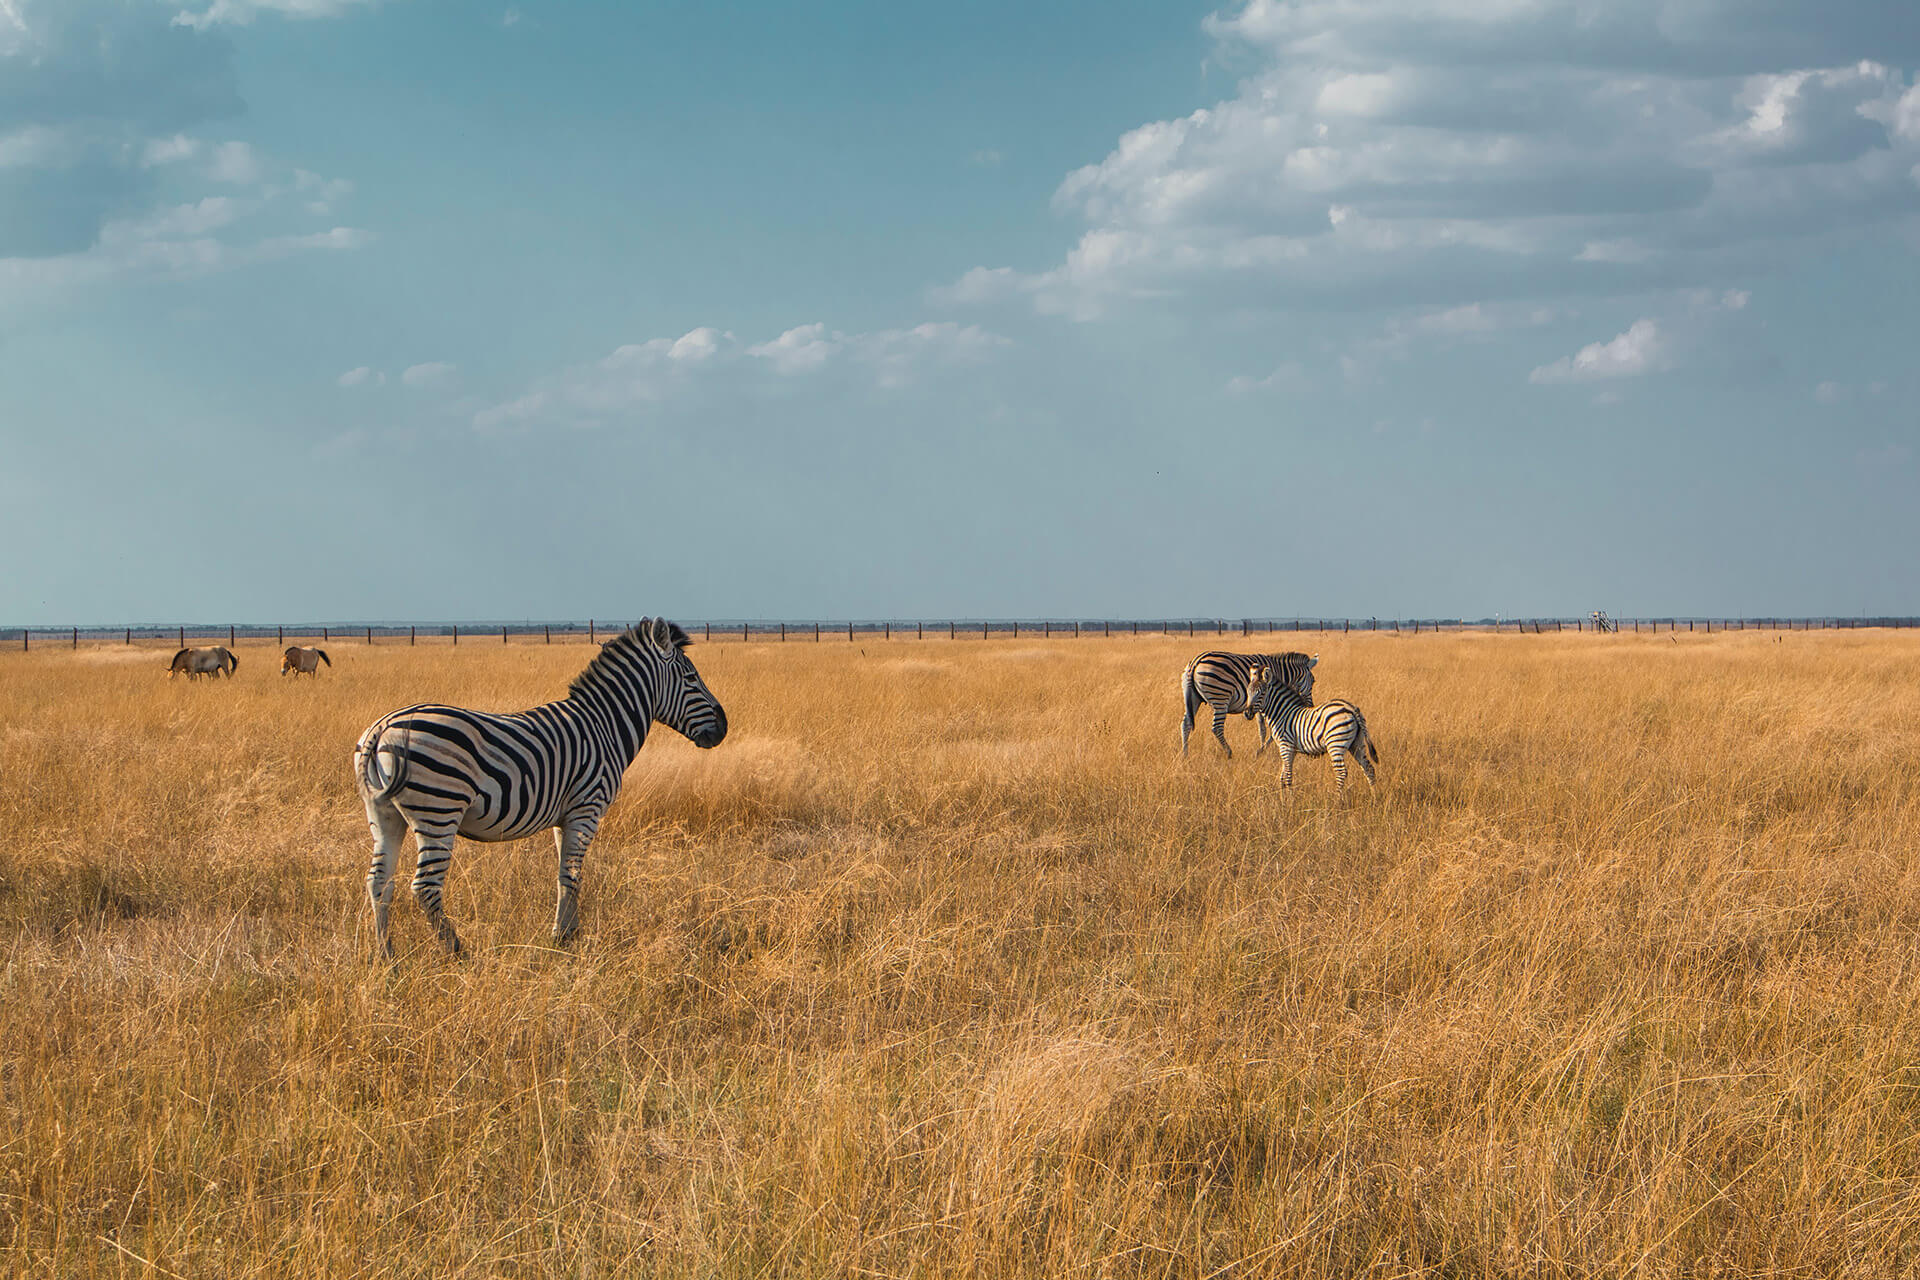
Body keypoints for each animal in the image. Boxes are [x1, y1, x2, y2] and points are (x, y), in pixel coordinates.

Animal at [353, 614, 725, 955]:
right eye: (691, 678)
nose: (723, 728)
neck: (604, 725)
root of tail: (381, 728)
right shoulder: (587, 808)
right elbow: (572, 873)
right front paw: (562, 938)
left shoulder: (566, 816)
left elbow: (565, 873)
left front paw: (568, 932)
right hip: (439, 809)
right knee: (425, 886)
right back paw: (457, 952)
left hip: (384, 814)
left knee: (378, 882)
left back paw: (386, 955)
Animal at [1175, 644, 1313, 756]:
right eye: (1313, 681)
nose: (1310, 706)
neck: (1280, 671)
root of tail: (1196, 661)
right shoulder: (1268, 702)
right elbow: (1269, 729)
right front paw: (1262, 750)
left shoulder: (1260, 704)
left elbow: (1262, 728)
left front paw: (1262, 749)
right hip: (1220, 697)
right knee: (1217, 728)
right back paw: (1229, 753)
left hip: (1193, 698)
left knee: (1186, 723)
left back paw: (1185, 754)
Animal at [1244, 667, 1382, 794]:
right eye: (1248, 692)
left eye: (1261, 693)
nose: (1247, 713)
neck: (1281, 713)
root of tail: (1352, 708)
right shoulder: (1289, 749)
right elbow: (1282, 776)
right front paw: (1282, 799)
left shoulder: (1285, 746)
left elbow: (1287, 776)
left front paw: (1290, 800)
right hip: (1357, 744)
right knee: (1369, 769)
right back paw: (1374, 797)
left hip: (1335, 744)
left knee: (1341, 773)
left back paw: (1337, 801)